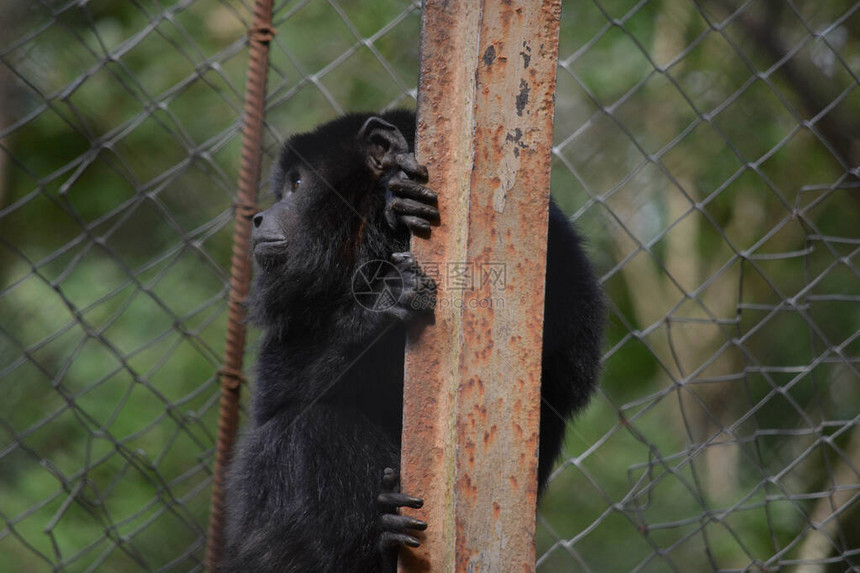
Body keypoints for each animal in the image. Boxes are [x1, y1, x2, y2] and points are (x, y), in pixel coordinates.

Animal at [222, 109, 604, 568]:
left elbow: (568, 356)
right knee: (307, 428)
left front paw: (395, 200)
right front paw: (379, 307)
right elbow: (273, 399)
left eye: (297, 185)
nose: (259, 218)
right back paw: (382, 535)